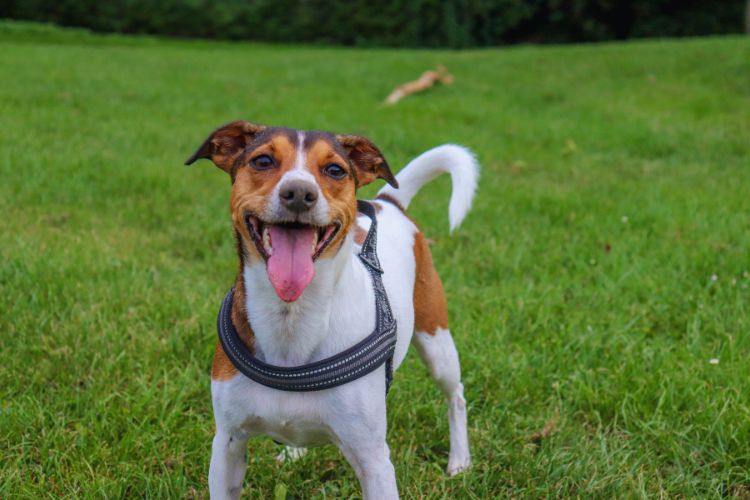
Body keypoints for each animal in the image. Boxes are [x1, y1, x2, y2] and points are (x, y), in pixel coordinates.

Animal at [188, 122, 482, 500]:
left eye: (335, 170)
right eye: (263, 160)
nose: (299, 193)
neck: (292, 317)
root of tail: (388, 203)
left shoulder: (374, 459)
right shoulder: (227, 443)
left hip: (436, 339)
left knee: (455, 395)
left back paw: (460, 460)